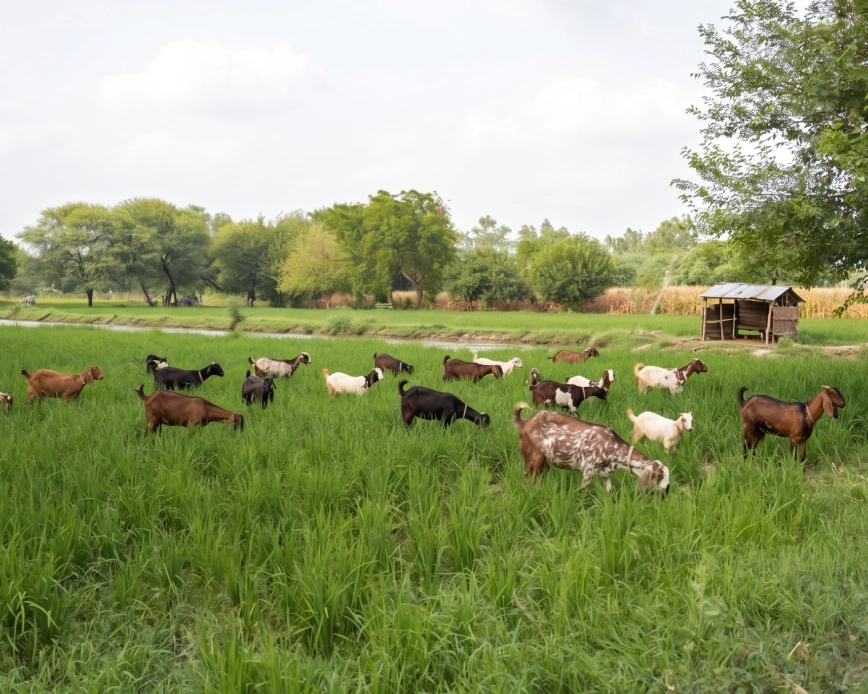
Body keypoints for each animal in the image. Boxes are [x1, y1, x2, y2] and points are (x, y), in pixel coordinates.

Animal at [513, 403, 670, 493]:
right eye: (659, 476)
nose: (667, 490)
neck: (613, 447)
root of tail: (525, 422)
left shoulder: (606, 474)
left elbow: (609, 492)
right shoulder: (588, 469)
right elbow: (584, 492)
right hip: (534, 458)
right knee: (527, 479)